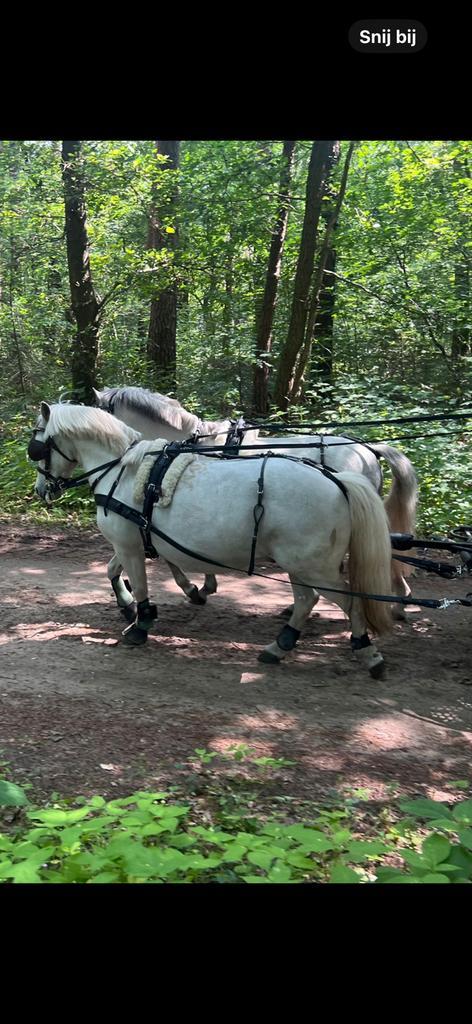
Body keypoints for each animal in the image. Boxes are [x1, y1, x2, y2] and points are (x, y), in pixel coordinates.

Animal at [30, 401, 394, 678]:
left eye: (37, 446)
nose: (41, 490)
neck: (123, 469)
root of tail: (339, 482)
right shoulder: (145, 538)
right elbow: (118, 569)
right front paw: (140, 601)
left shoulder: (128, 544)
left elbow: (138, 582)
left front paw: (140, 621)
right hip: (300, 564)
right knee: (307, 600)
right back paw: (280, 645)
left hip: (314, 566)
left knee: (349, 601)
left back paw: (367, 651)